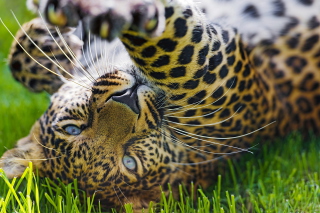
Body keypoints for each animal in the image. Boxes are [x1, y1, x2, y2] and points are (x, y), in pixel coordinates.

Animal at [0, 0, 320, 211]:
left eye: (72, 128)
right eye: (130, 161)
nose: (127, 98)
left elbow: (19, 59)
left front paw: (46, 41)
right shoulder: (210, 72)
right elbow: (165, 44)